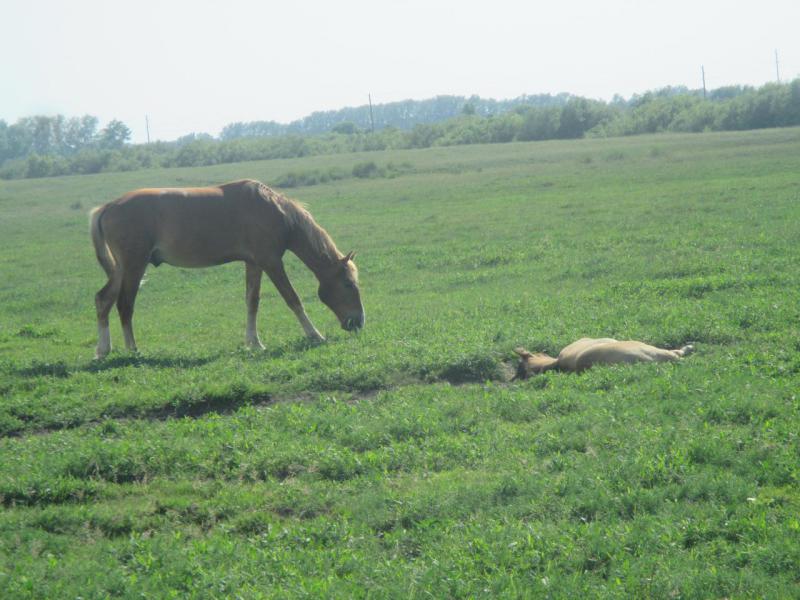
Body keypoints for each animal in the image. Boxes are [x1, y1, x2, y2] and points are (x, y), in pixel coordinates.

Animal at [90, 177, 362, 356]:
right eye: (348, 284)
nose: (358, 322)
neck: (274, 209)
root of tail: (108, 207)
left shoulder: (254, 263)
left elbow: (252, 302)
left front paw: (254, 342)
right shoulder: (271, 262)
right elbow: (292, 299)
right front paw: (314, 335)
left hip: (121, 269)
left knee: (103, 299)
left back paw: (104, 349)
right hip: (134, 266)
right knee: (125, 305)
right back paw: (132, 350)